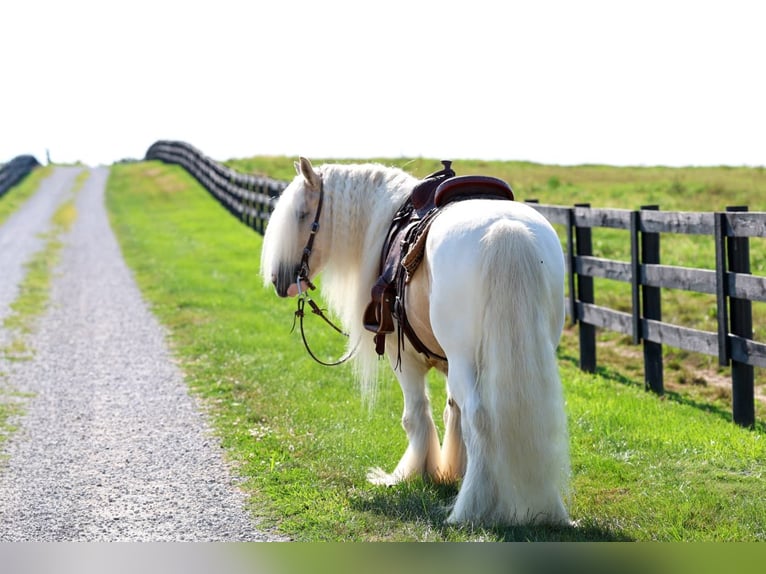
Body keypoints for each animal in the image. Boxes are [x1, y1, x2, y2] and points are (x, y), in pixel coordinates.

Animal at [261, 157, 570, 526]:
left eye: (301, 214)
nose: (280, 279)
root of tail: (506, 231)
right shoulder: (449, 367)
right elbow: (452, 412)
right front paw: (450, 471)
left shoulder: (406, 360)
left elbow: (416, 415)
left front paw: (411, 475)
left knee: (480, 417)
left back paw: (469, 508)